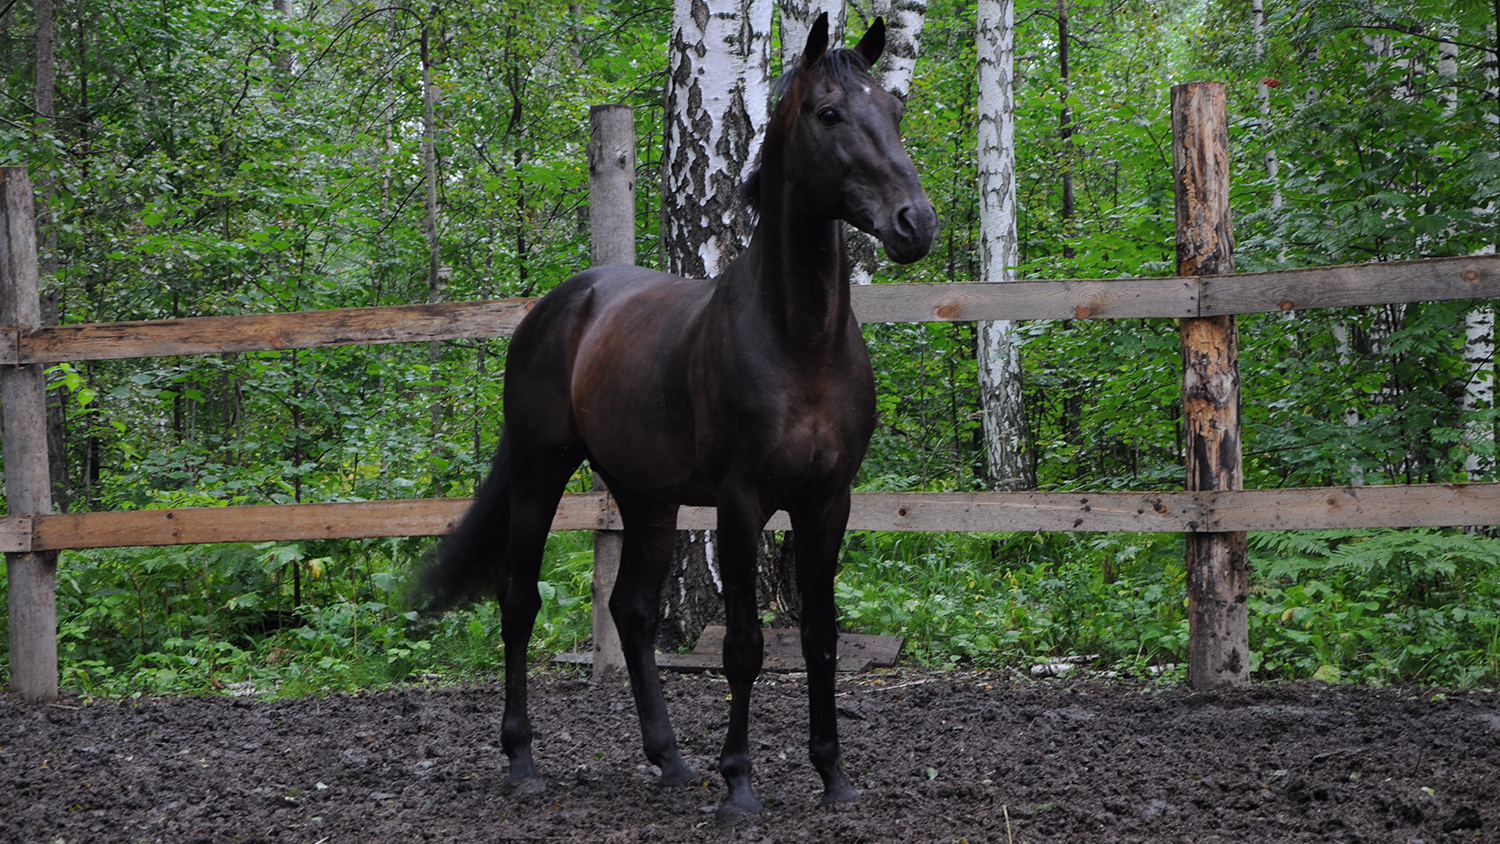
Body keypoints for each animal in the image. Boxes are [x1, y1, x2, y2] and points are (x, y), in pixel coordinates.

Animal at [423, 16, 930, 815]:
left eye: (894, 111)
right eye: (829, 114)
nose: (917, 223)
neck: (801, 343)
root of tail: (560, 305)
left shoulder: (828, 501)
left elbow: (820, 638)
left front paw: (834, 778)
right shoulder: (740, 502)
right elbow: (743, 647)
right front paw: (740, 786)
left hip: (646, 497)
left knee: (631, 611)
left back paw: (668, 758)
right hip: (541, 473)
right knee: (517, 600)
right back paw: (522, 760)